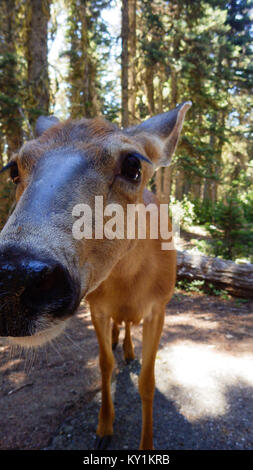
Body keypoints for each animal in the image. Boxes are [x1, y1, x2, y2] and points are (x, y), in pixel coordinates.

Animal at [0, 101, 191, 450]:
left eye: (133, 164)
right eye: (14, 168)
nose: (13, 276)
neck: (128, 281)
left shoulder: (160, 306)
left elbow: (148, 380)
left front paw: (146, 444)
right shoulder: (96, 306)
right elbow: (104, 367)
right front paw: (104, 430)